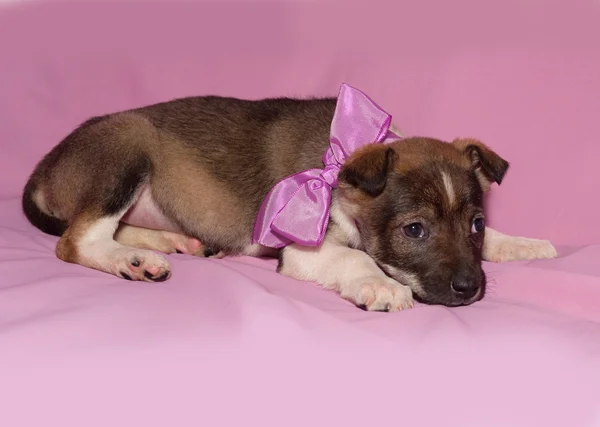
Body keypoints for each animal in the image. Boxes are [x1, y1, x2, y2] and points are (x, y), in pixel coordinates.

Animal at [22, 88, 556, 312]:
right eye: (415, 230)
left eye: (476, 224)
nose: (471, 289)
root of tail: (45, 167)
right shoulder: (303, 251)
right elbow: (354, 258)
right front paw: (380, 286)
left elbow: (500, 241)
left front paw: (526, 244)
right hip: (128, 146)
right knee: (78, 239)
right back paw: (132, 260)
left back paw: (171, 242)